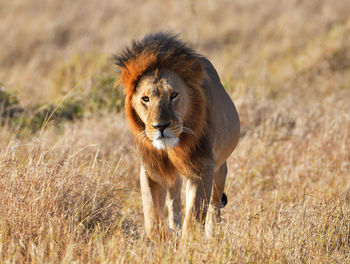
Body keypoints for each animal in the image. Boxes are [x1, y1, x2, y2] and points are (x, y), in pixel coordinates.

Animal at [115, 32, 241, 240]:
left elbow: (194, 217)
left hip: (219, 168)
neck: (173, 147)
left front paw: (188, 243)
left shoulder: (202, 167)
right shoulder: (152, 168)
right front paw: (166, 237)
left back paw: (211, 235)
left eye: (174, 95)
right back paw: (175, 228)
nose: (160, 126)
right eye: (145, 99)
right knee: (173, 201)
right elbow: (152, 218)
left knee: (214, 206)